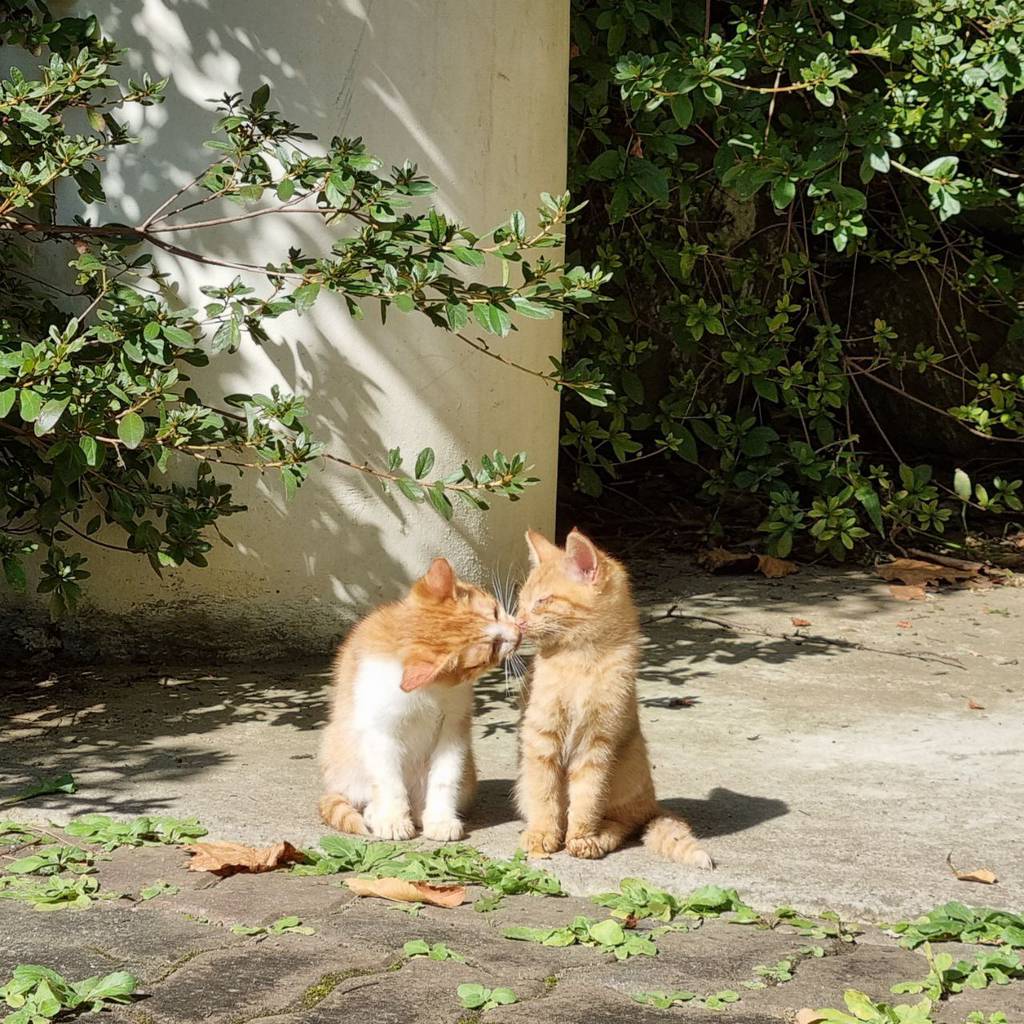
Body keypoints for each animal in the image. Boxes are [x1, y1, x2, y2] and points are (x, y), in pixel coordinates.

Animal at [317, 561, 520, 839]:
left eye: (496, 612)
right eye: (492, 649)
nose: (519, 633)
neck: (430, 691)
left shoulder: (454, 727)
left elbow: (445, 776)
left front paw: (441, 819)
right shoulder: (380, 732)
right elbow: (389, 781)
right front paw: (392, 819)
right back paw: (377, 813)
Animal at [512, 532, 712, 868]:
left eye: (542, 601)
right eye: (521, 603)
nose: (518, 622)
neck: (580, 663)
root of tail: (653, 803)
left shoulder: (597, 745)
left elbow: (586, 799)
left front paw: (579, 837)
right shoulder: (541, 737)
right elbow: (544, 795)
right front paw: (542, 834)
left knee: (622, 824)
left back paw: (596, 839)